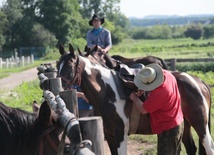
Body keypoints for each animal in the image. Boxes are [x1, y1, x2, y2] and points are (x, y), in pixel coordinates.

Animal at [57, 44, 214, 155]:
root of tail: (199, 82)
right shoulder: (110, 136)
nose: (60, 87)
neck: (106, 91)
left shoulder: (120, 135)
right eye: (58, 65)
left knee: (209, 147)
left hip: (200, 124)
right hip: (186, 126)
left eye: (69, 65)